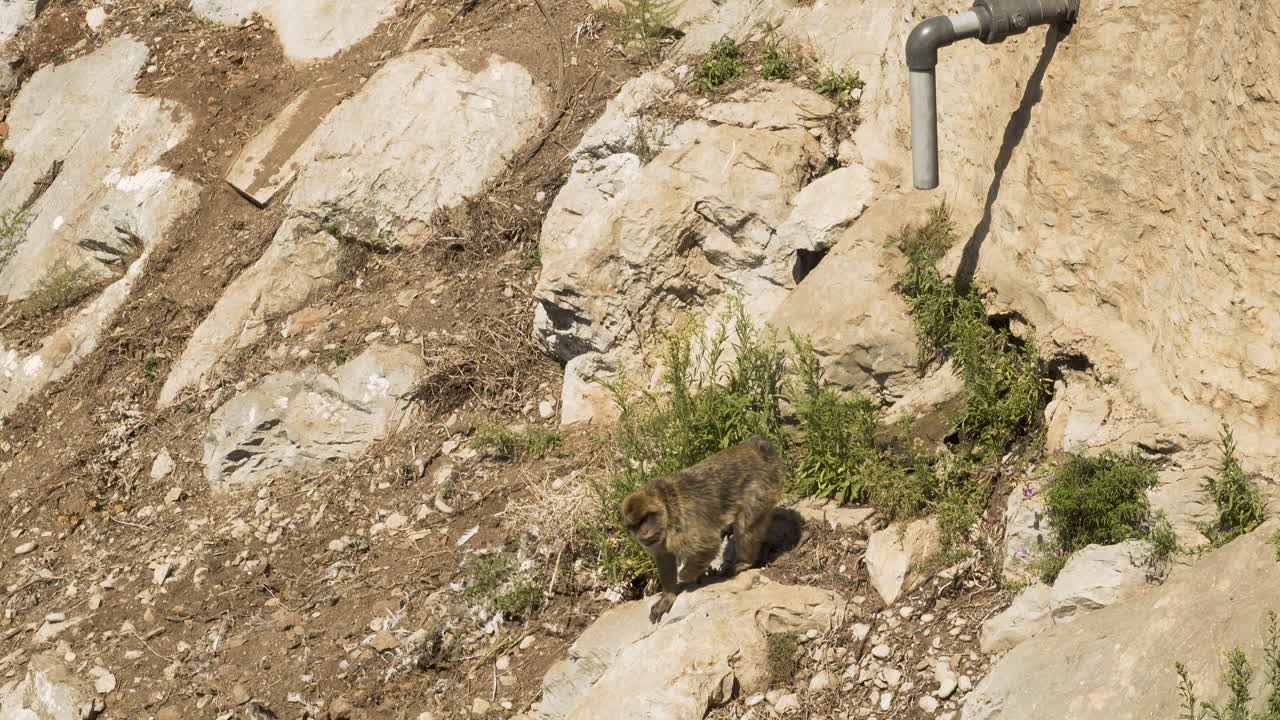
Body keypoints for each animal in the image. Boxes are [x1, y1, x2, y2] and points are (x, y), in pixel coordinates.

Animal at [619, 433, 783, 623]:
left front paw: (689, 577)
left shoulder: (684, 525)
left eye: (646, 518)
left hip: (761, 487)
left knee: (746, 525)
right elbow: (664, 558)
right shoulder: (658, 541)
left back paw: (745, 561)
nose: (643, 533)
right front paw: (668, 596)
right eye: (635, 525)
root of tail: (758, 447)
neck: (667, 511)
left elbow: (707, 545)